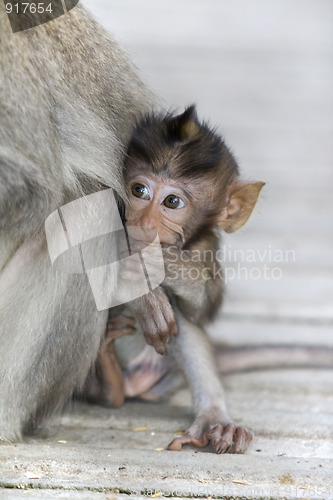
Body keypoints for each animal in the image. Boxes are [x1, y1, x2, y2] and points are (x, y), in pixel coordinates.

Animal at [85, 107, 264, 456]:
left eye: (172, 202)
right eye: (139, 191)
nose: (143, 224)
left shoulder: (204, 246)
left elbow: (202, 311)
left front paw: (162, 265)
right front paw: (142, 289)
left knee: (181, 318)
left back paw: (212, 418)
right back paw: (107, 378)